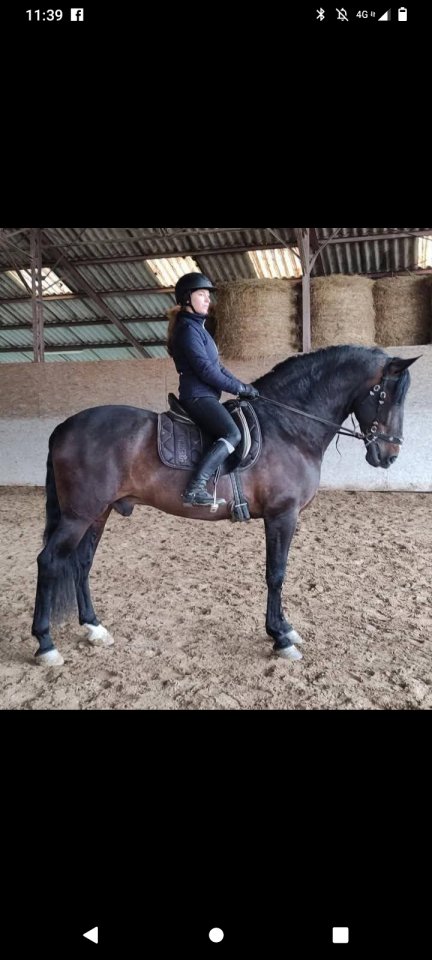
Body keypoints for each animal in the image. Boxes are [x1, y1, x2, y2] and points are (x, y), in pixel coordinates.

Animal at [31, 345, 418, 667]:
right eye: (384, 395)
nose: (390, 455)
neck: (288, 427)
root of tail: (64, 427)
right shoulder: (282, 516)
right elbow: (276, 574)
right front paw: (280, 638)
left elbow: (276, 574)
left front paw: (285, 629)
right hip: (78, 515)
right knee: (49, 562)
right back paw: (46, 645)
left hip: (98, 513)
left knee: (81, 563)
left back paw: (94, 628)